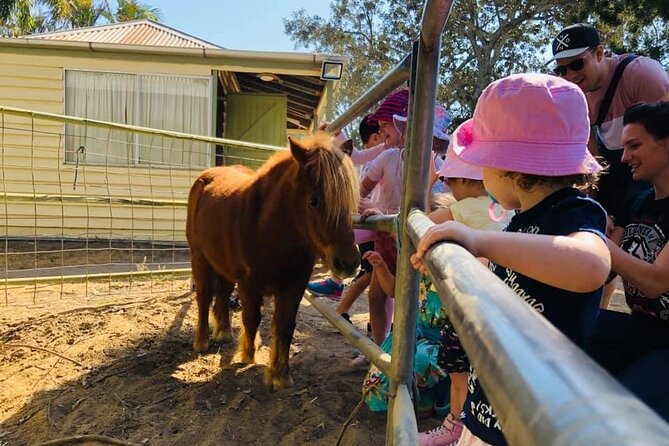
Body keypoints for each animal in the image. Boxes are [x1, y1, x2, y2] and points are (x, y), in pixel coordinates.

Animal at [185, 135, 360, 390]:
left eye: (351, 203)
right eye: (314, 201)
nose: (348, 263)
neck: (267, 228)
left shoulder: (294, 286)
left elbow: (285, 327)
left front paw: (280, 375)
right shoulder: (248, 283)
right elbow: (252, 318)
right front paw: (248, 355)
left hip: (224, 266)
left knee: (223, 294)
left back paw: (224, 332)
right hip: (199, 257)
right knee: (204, 297)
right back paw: (202, 341)